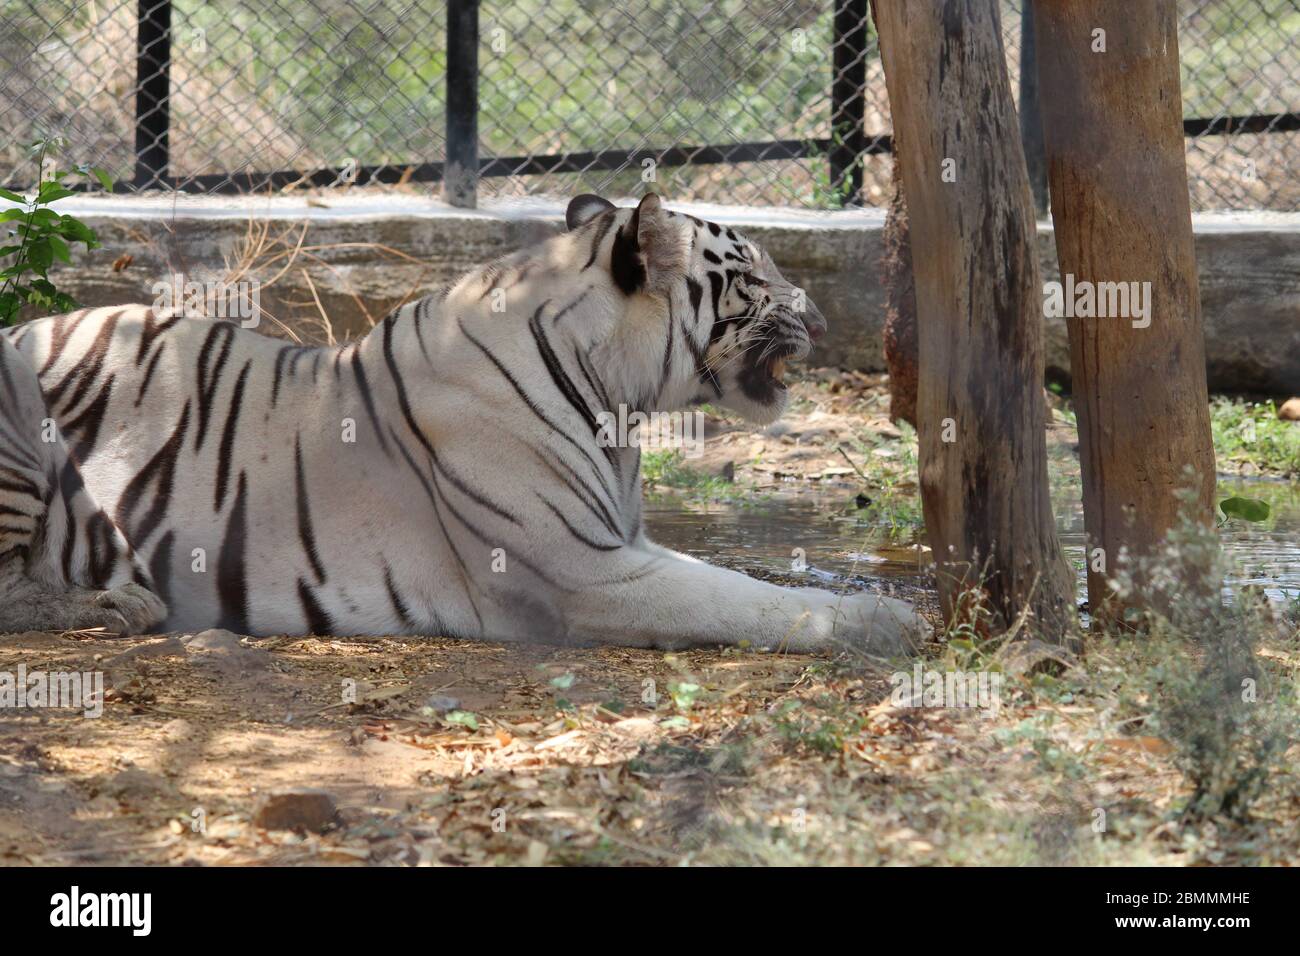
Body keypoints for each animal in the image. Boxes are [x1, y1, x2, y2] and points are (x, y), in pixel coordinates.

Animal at [0, 195, 930, 658]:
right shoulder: (589, 574)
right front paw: (884, 624)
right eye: (753, 273)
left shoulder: (620, 544)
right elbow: (749, 601)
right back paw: (114, 605)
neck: (618, 401)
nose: (820, 317)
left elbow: (740, 583)